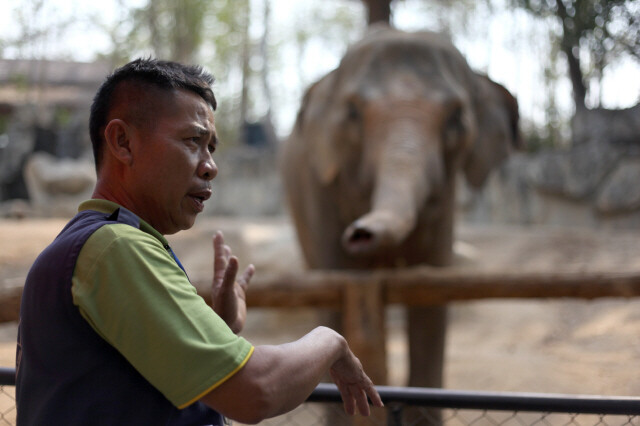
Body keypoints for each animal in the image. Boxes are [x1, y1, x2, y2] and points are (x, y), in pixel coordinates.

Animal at [280, 25, 520, 392]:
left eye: (456, 120)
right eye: (353, 113)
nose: (359, 233)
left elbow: (432, 292)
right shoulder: (318, 187)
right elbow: (339, 280)